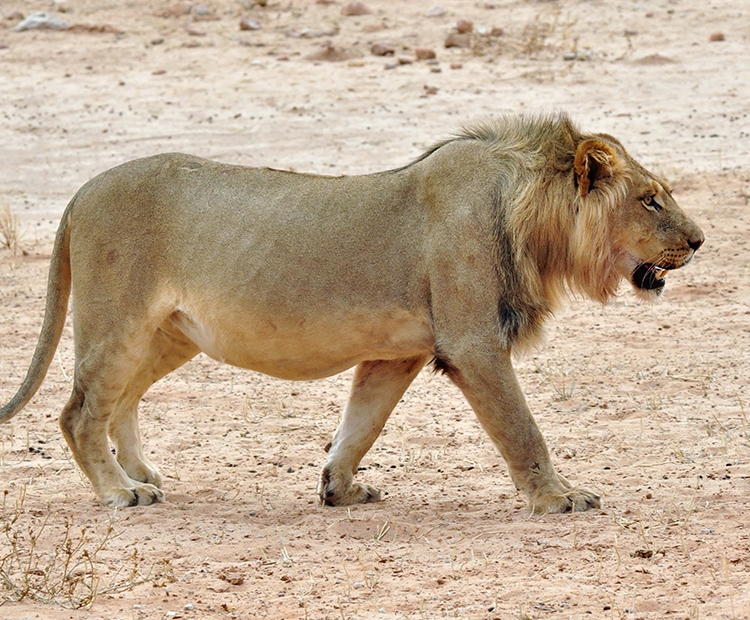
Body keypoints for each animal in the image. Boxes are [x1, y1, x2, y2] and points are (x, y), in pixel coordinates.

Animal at [0, 112, 704, 512]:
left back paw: (141, 475)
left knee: (121, 399)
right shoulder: (474, 344)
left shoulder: (400, 352)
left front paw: (338, 490)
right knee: (79, 411)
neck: (528, 213)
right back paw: (118, 491)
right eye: (649, 200)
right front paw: (560, 498)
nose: (700, 241)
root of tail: (80, 192)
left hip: (171, 334)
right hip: (115, 321)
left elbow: (360, 425)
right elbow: (523, 430)